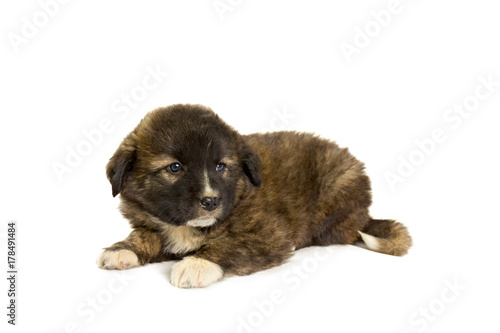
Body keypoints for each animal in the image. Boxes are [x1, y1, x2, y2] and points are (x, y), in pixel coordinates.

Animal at [96, 103, 410, 286]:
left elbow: (232, 245)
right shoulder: (154, 223)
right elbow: (145, 235)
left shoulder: (269, 233)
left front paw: (197, 263)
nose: (211, 201)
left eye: (220, 166)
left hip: (339, 185)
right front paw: (122, 249)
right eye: (174, 167)